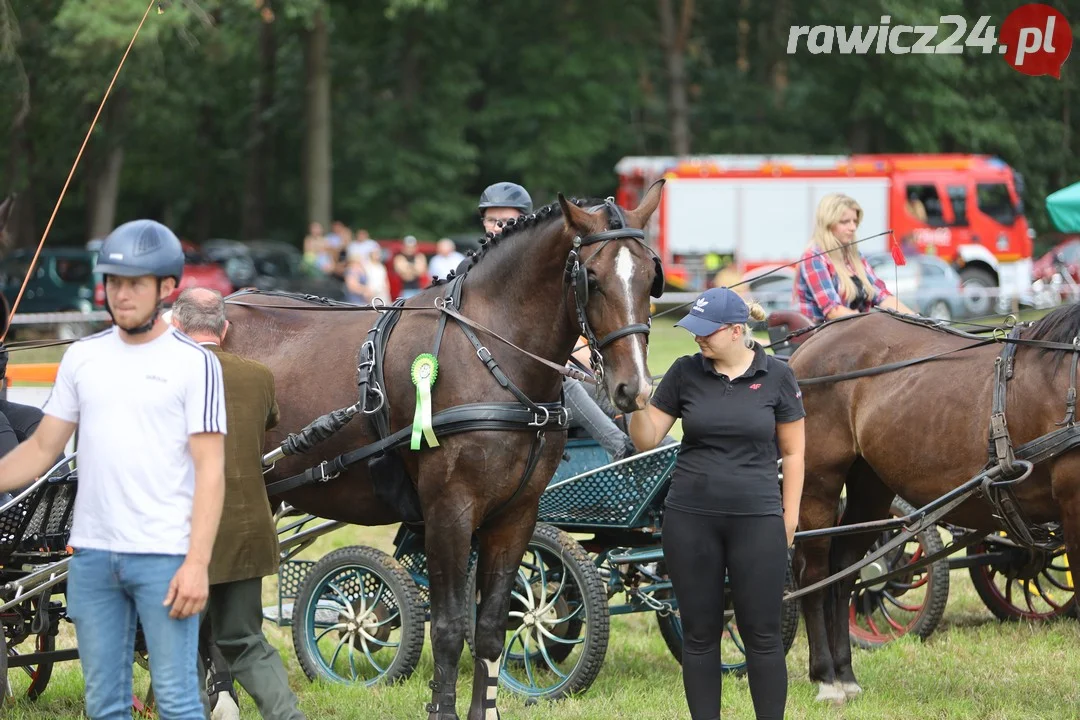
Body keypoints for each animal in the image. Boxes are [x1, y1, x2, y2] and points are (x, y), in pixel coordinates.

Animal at [223, 185, 660, 720]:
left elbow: (491, 627)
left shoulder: (516, 515)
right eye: (591, 278)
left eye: (650, 276)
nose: (633, 389)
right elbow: (450, 627)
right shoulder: (448, 511)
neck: (489, 351)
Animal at [786, 306, 1080, 708]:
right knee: (813, 574)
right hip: (817, 481)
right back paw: (827, 679)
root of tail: (812, 342)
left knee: (844, 571)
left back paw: (846, 675)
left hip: (870, 486)